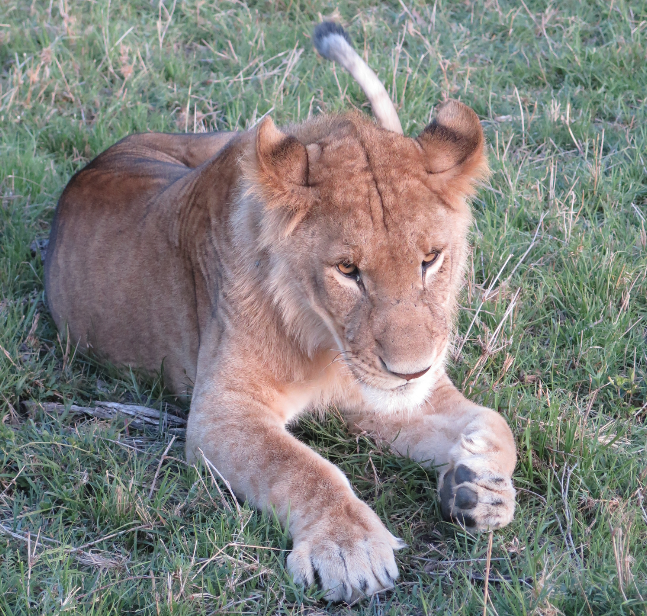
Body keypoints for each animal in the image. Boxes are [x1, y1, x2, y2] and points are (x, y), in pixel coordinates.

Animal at [44, 22, 516, 600]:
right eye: (347, 269)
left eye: (430, 260)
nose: (411, 371)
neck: (327, 344)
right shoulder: (221, 412)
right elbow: (300, 467)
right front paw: (351, 548)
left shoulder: (382, 398)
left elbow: (496, 422)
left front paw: (481, 489)